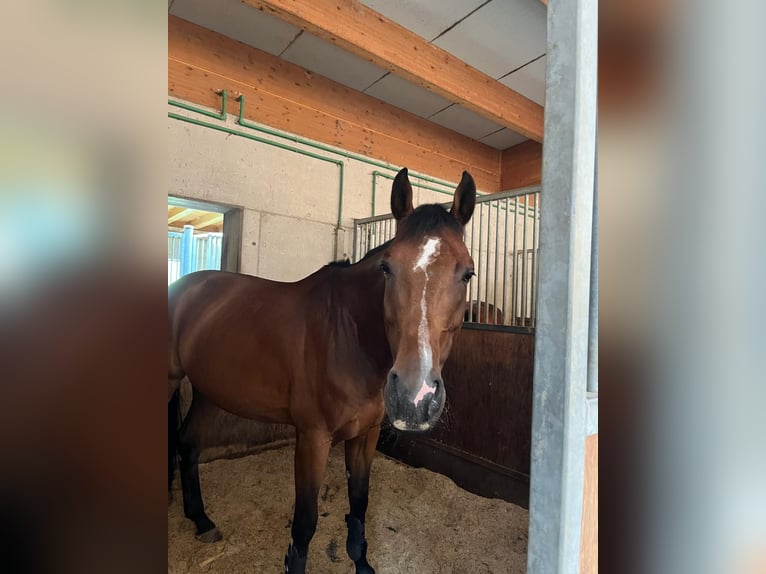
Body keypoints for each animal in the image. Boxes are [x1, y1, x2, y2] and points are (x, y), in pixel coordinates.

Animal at [168, 167, 476, 573]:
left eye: (468, 273)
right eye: (387, 266)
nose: (415, 398)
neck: (348, 333)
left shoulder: (365, 436)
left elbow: (359, 504)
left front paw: (362, 563)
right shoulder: (313, 438)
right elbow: (305, 524)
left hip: (208, 390)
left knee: (188, 444)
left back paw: (202, 521)